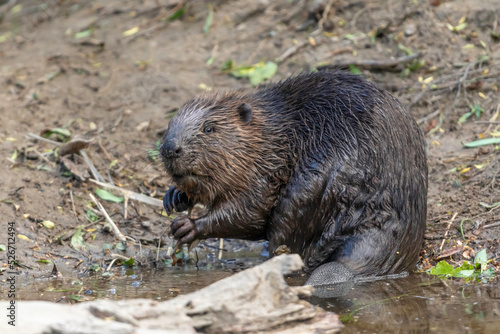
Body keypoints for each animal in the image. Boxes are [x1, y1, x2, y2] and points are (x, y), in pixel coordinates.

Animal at [162, 69, 428, 286]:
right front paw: (174, 197)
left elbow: (251, 211)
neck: (274, 133)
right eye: (169, 125)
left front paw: (187, 226)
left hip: (313, 188)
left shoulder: (267, 170)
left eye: (209, 128)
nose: (170, 148)